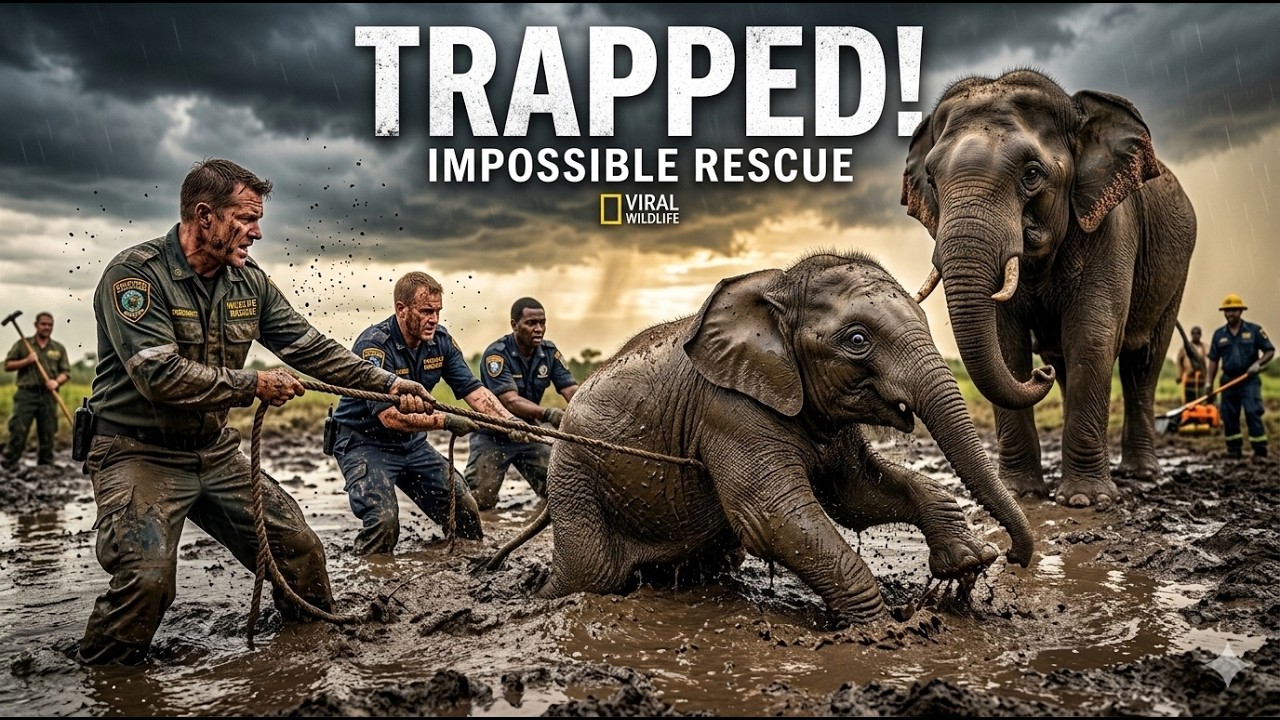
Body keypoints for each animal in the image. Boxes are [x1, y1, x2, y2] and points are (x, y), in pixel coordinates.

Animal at [482, 251, 1034, 628]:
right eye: (857, 340)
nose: (1014, 557)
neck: (777, 288)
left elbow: (857, 495)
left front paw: (965, 563)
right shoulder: (728, 409)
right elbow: (774, 517)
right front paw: (881, 632)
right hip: (575, 476)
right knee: (589, 575)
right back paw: (539, 598)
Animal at [900, 69, 1196, 508]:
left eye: (1032, 175)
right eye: (933, 181)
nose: (1041, 374)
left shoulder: (1111, 224)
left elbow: (1092, 336)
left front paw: (1086, 501)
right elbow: (1007, 344)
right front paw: (1021, 494)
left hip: (1175, 273)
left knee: (1143, 362)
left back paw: (1139, 474)